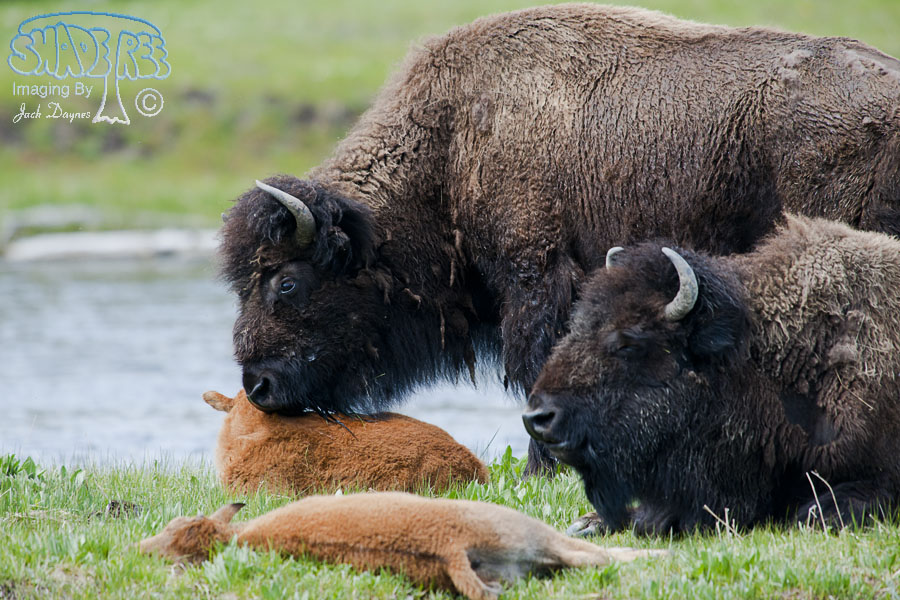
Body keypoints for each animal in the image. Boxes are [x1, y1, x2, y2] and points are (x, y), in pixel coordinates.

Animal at [220, 4, 900, 472]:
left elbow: (536, 367)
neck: (452, 139)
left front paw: (543, 466)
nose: (258, 386)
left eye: (286, 283)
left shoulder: (534, 274)